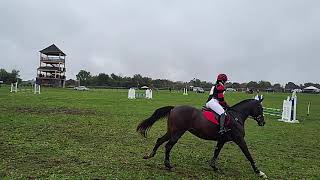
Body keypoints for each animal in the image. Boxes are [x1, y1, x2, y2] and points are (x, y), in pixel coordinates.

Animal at [136, 98, 268, 179]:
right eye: (260, 108)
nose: (263, 122)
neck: (236, 116)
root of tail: (174, 108)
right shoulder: (240, 140)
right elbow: (248, 155)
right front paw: (259, 172)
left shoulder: (222, 140)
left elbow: (216, 152)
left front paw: (214, 167)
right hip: (178, 132)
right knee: (168, 145)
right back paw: (168, 165)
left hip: (171, 131)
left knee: (160, 140)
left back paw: (150, 155)